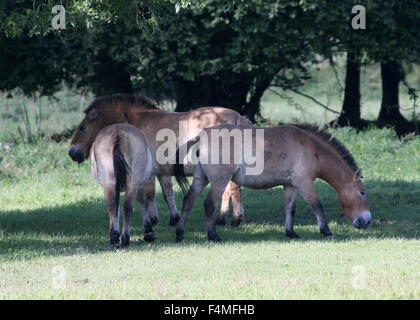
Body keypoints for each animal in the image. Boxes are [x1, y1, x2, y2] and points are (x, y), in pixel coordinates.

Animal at [69, 93, 253, 235]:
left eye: (82, 127)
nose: (72, 152)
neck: (138, 121)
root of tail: (237, 117)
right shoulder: (162, 172)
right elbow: (167, 193)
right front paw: (173, 218)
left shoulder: (148, 171)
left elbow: (149, 194)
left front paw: (152, 219)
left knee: (232, 190)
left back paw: (232, 219)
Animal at [173, 124, 370, 241]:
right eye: (362, 192)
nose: (367, 221)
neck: (312, 148)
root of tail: (201, 137)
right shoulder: (305, 184)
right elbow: (317, 206)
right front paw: (326, 231)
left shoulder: (290, 186)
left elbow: (290, 208)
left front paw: (291, 232)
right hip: (219, 181)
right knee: (209, 204)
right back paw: (213, 235)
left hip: (201, 179)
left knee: (188, 202)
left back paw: (180, 233)